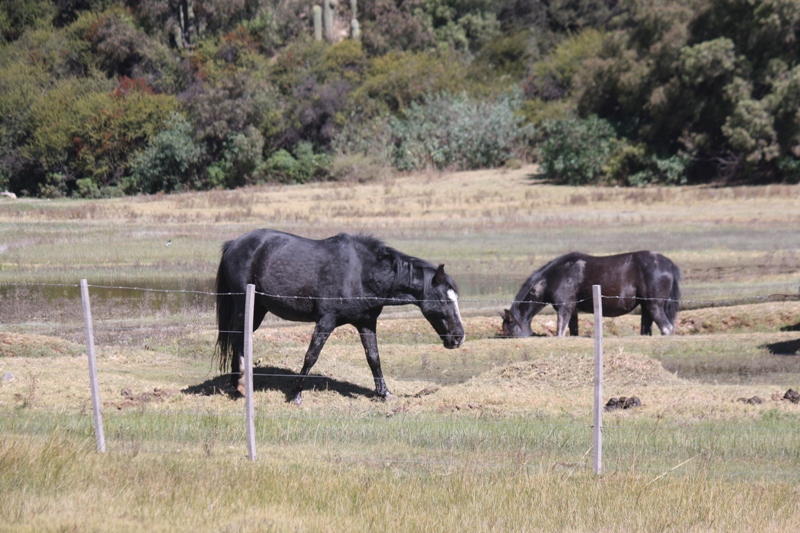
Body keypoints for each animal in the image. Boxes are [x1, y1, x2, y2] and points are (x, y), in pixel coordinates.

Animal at [214, 229, 462, 404]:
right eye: (444, 301)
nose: (459, 337)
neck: (362, 272)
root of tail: (233, 244)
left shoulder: (366, 322)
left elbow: (374, 358)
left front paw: (385, 393)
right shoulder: (326, 320)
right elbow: (311, 356)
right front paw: (295, 394)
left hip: (257, 309)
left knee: (241, 337)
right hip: (243, 305)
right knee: (236, 337)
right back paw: (240, 385)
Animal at [500, 250, 680, 336]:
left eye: (509, 331)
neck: (555, 276)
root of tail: (669, 264)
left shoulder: (564, 309)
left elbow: (560, 333)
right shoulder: (573, 311)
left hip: (654, 305)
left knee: (667, 328)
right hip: (646, 307)